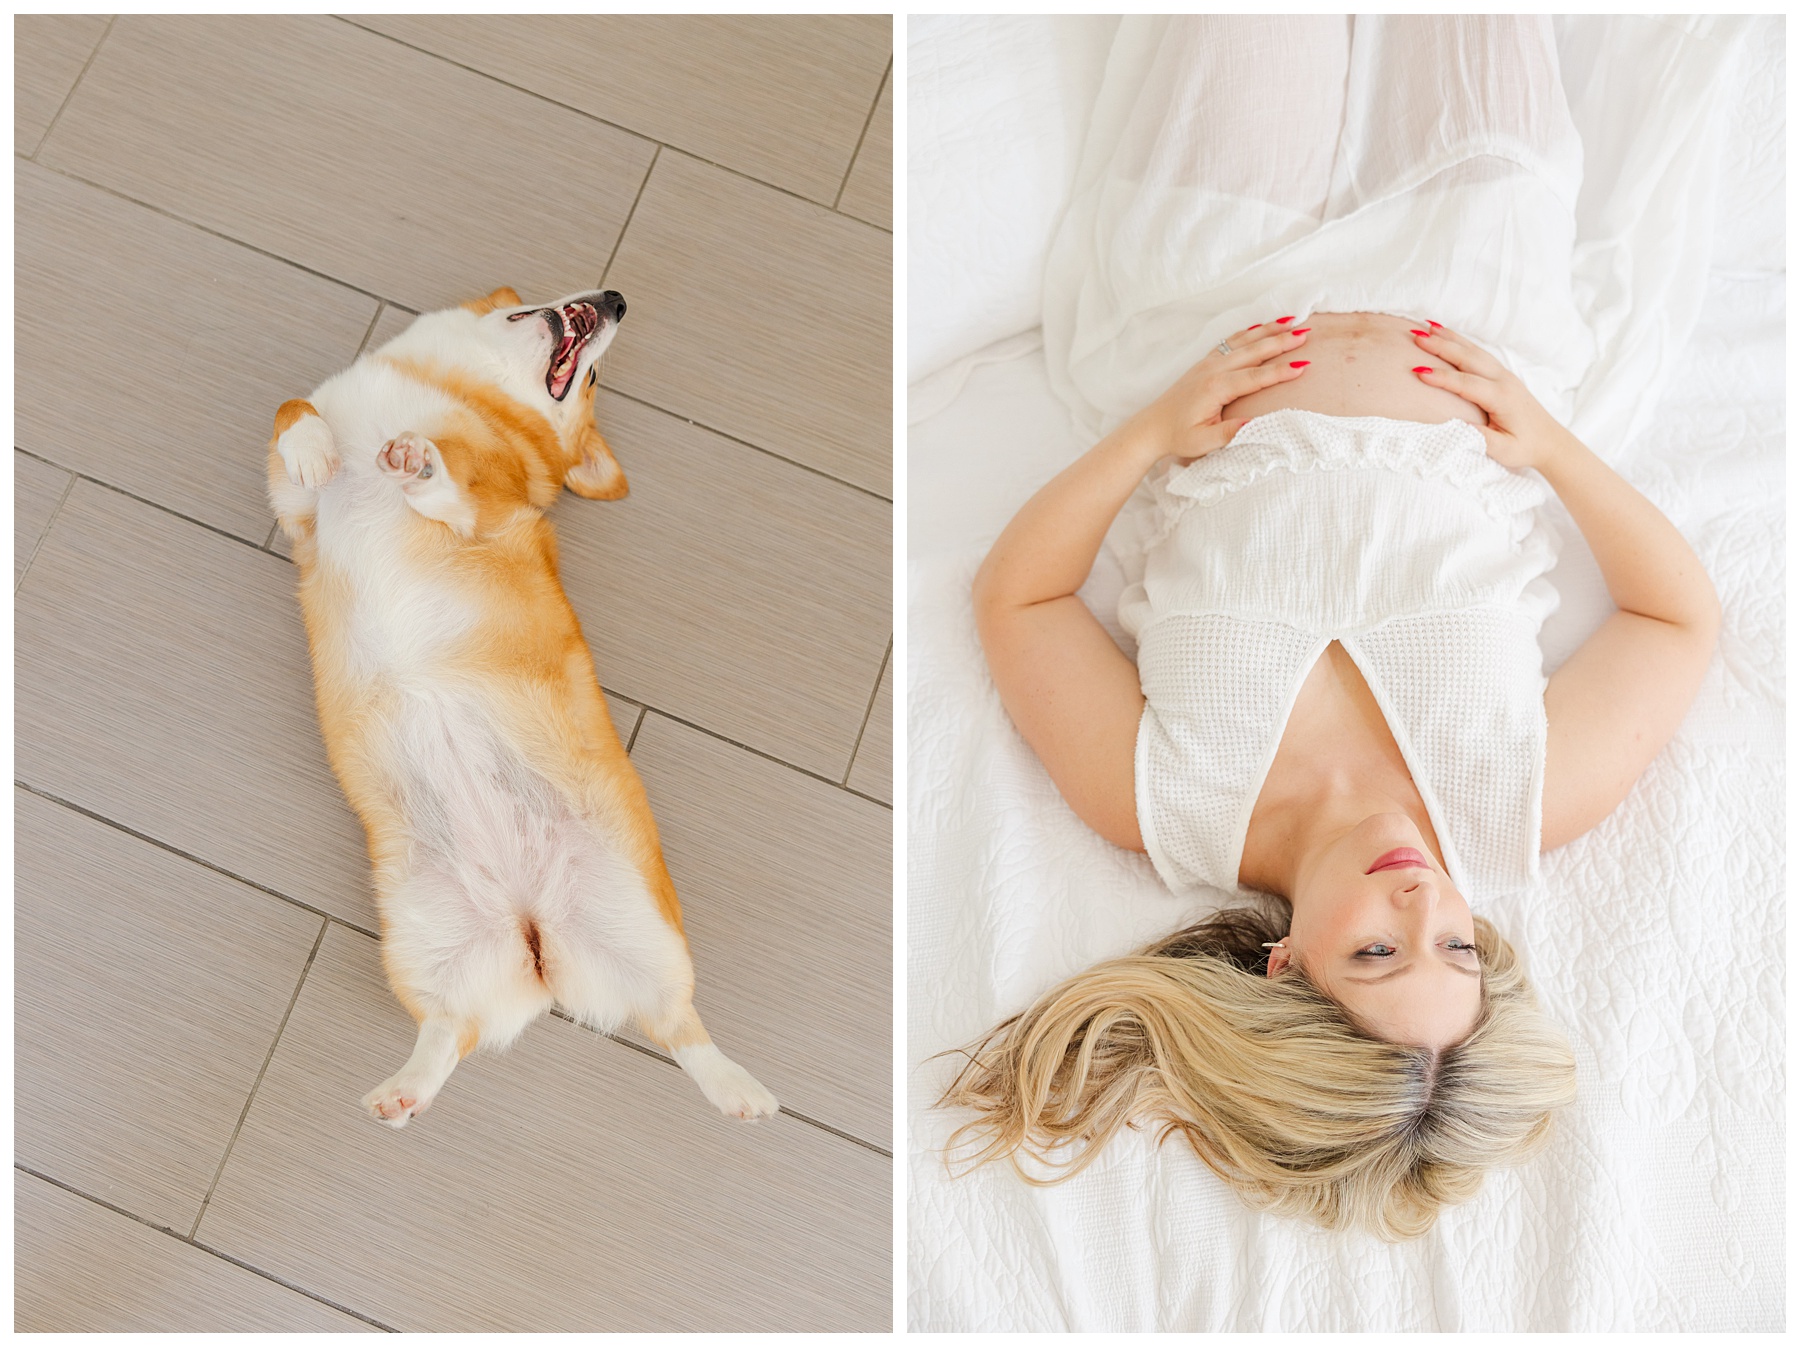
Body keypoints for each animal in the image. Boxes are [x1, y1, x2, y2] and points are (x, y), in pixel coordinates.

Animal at [264, 284, 774, 1123]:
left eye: (592, 382)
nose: (616, 297)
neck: (463, 382)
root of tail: (533, 924)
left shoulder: (487, 502)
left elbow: (452, 484)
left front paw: (418, 462)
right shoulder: (299, 508)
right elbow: (293, 412)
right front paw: (315, 445)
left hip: (643, 927)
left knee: (677, 1022)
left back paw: (740, 1090)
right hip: (428, 940)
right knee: (452, 1029)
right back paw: (402, 1092)